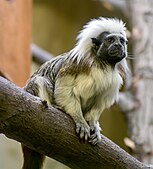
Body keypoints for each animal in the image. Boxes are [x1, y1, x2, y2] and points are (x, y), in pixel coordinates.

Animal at [21, 17, 128, 169]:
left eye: (122, 41)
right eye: (111, 40)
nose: (118, 46)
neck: (103, 65)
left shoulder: (113, 82)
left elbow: (98, 104)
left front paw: (93, 124)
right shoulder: (76, 64)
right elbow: (65, 89)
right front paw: (80, 120)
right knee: (39, 80)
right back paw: (55, 107)